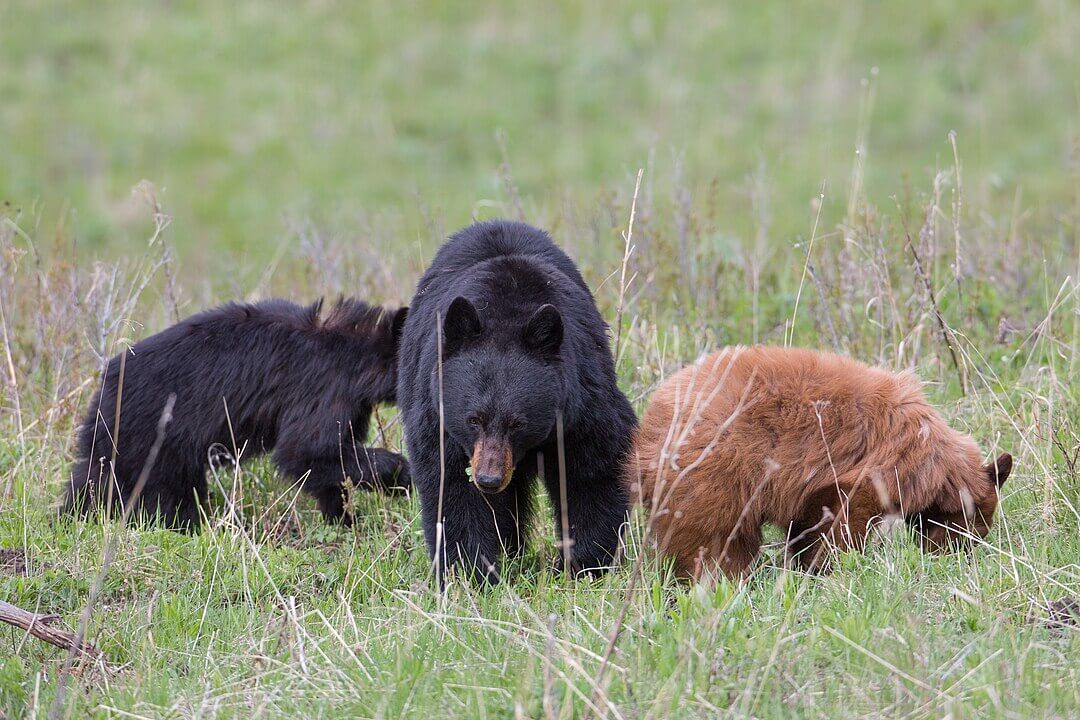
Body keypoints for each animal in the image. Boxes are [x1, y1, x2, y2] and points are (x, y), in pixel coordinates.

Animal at [65, 297, 411, 528]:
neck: (358, 354)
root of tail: (104, 386)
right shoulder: (325, 390)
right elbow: (304, 450)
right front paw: (401, 477)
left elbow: (328, 461)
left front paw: (345, 519)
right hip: (152, 437)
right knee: (164, 492)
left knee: (92, 479)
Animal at [396, 220, 638, 585]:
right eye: (473, 419)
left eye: (518, 423)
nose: (488, 479)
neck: (505, 310)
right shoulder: (437, 414)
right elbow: (452, 486)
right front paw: (470, 572)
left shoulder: (580, 404)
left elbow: (592, 470)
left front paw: (583, 564)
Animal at [624, 346, 1012, 580]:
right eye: (978, 525)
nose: (959, 555)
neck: (931, 453)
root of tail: (653, 423)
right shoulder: (870, 472)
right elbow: (844, 522)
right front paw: (833, 567)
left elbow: (809, 522)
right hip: (716, 469)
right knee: (711, 535)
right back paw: (713, 578)